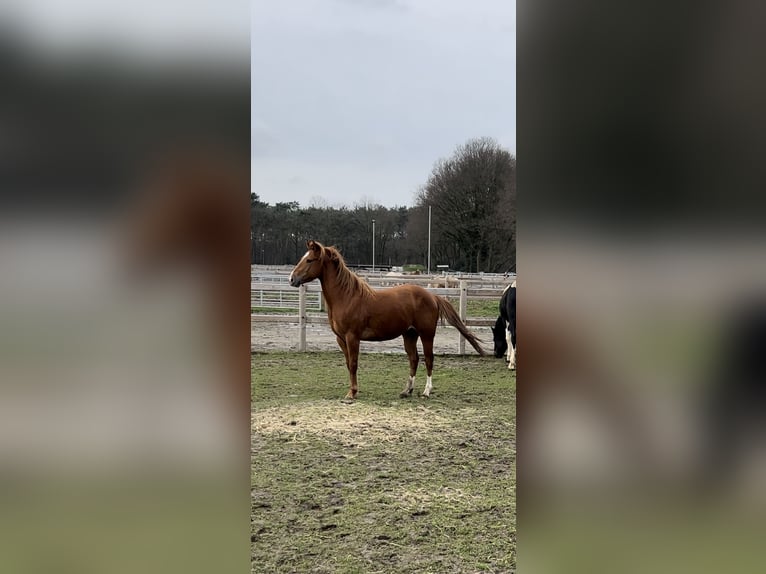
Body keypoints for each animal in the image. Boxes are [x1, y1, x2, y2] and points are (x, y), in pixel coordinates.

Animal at [289, 240, 487, 399]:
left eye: (309, 260)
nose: (292, 279)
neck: (347, 296)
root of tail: (432, 296)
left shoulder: (352, 337)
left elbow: (353, 364)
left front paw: (352, 393)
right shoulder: (341, 339)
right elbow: (348, 364)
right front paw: (352, 390)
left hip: (427, 335)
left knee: (429, 359)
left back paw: (426, 391)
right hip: (410, 335)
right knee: (414, 359)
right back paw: (407, 391)